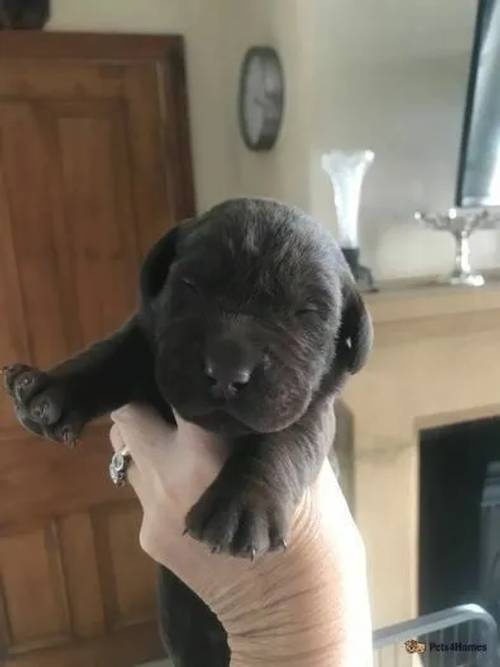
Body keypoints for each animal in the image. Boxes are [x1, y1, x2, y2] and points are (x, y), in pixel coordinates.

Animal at [2, 198, 372, 667]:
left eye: (307, 313)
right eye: (191, 285)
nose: (228, 369)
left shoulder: (310, 407)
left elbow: (281, 442)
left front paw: (242, 507)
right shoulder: (152, 347)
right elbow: (113, 352)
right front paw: (50, 390)